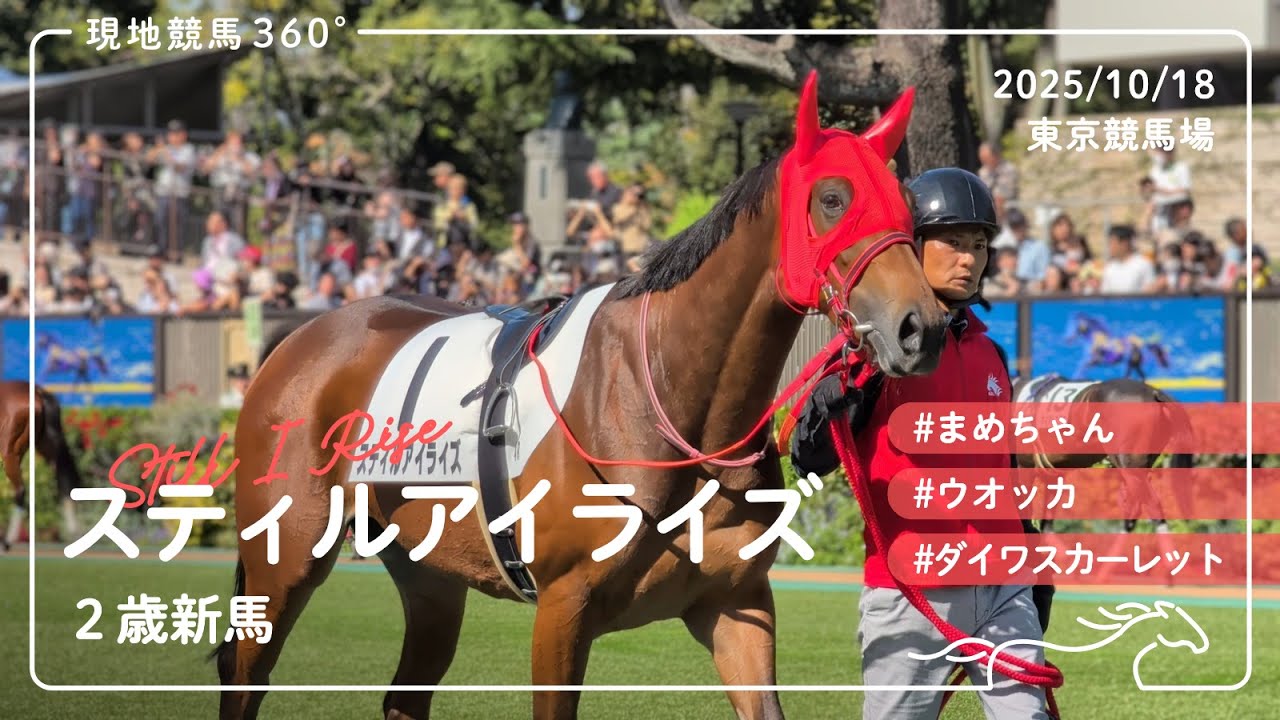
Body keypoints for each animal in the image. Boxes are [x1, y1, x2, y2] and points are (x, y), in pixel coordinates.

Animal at [213, 71, 952, 720]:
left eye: (906, 205)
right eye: (832, 199)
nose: (920, 327)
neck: (670, 408)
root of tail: (297, 339)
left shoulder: (737, 605)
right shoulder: (562, 612)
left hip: (430, 577)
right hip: (284, 560)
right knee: (247, 678)